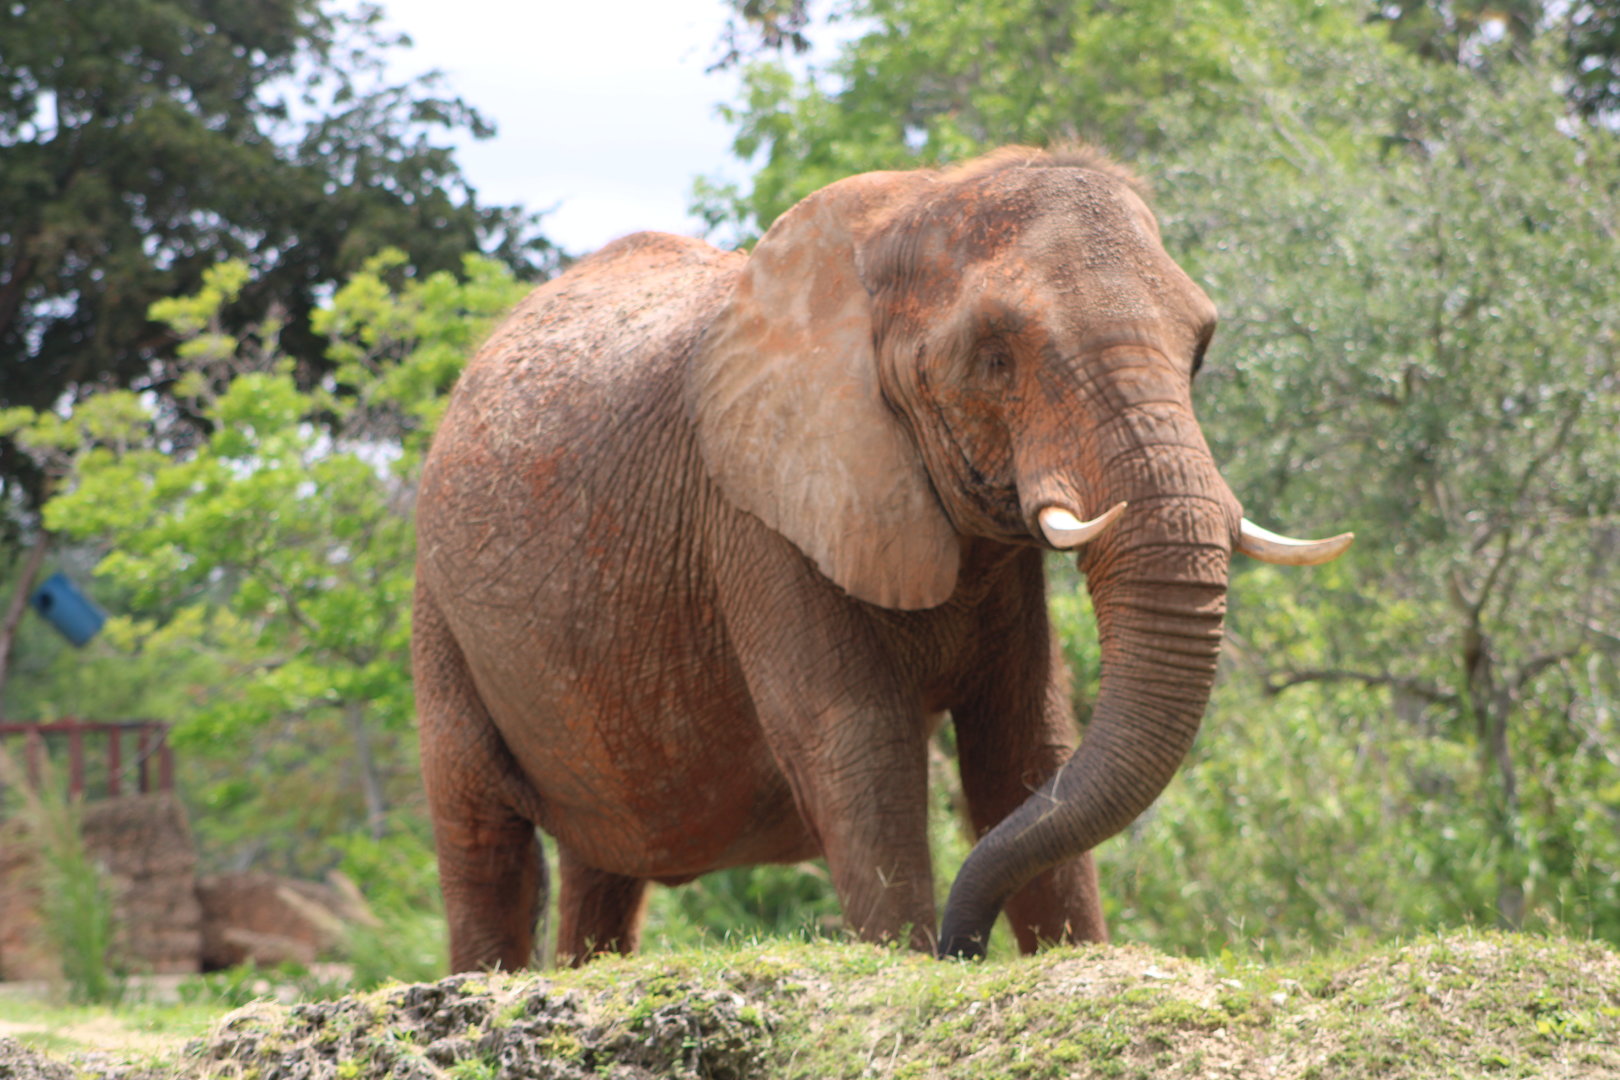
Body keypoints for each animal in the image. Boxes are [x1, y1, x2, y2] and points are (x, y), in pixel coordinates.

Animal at [412, 145, 1351, 970]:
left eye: (1200, 348)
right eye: (995, 358)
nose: (962, 947)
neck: (911, 207)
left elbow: (1026, 747)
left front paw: (1075, 959)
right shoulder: (761, 519)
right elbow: (860, 749)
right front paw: (910, 956)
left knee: (602, 868)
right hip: (438, 611)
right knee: (483, 841)